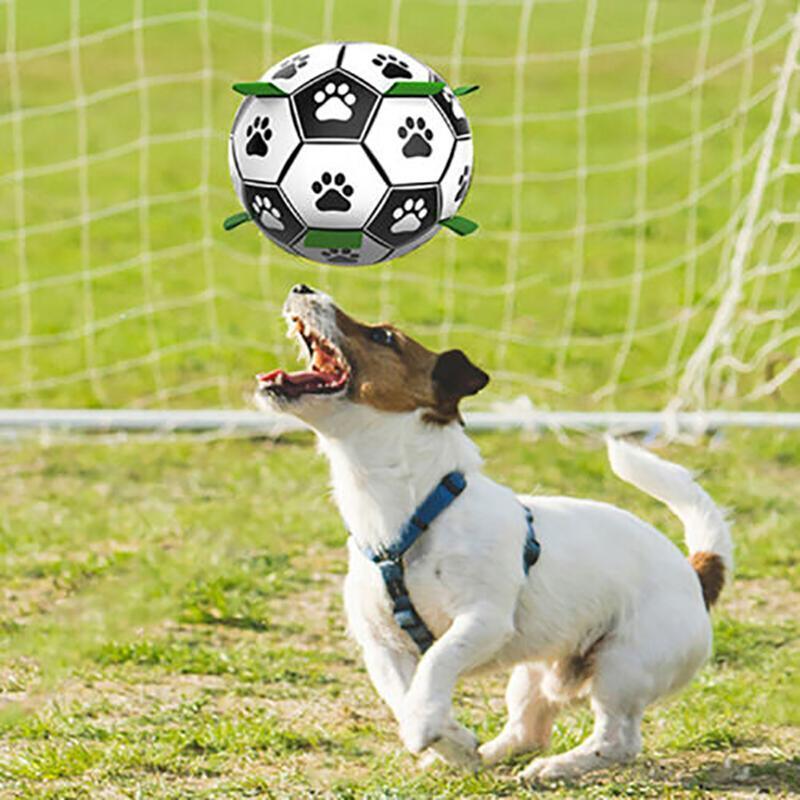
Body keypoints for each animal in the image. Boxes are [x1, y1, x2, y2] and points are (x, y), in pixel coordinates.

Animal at [255, 286, 732, 780]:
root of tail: (697, 574)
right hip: (534, 676)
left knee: (618, 740)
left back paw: (557, 767)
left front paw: (429, 728)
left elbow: (437, 662)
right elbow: (406, 696)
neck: (414, 513)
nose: (303, 289)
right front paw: (450, 739)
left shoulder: (482, 620)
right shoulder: (382, 646)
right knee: (529, 731)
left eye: (383, 336)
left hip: (623, 665)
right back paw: (489, 756)